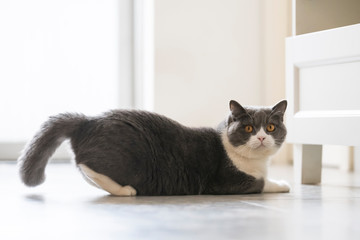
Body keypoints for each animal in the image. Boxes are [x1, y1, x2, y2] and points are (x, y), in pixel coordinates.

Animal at [18, 100, 292, 196]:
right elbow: (260, 182)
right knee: (86, 164)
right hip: (127, 156)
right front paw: (282, 183)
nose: (261, 138)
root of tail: (89, 120)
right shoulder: (226, 181)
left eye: (270, 128)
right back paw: (125, 190)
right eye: (248, 128)